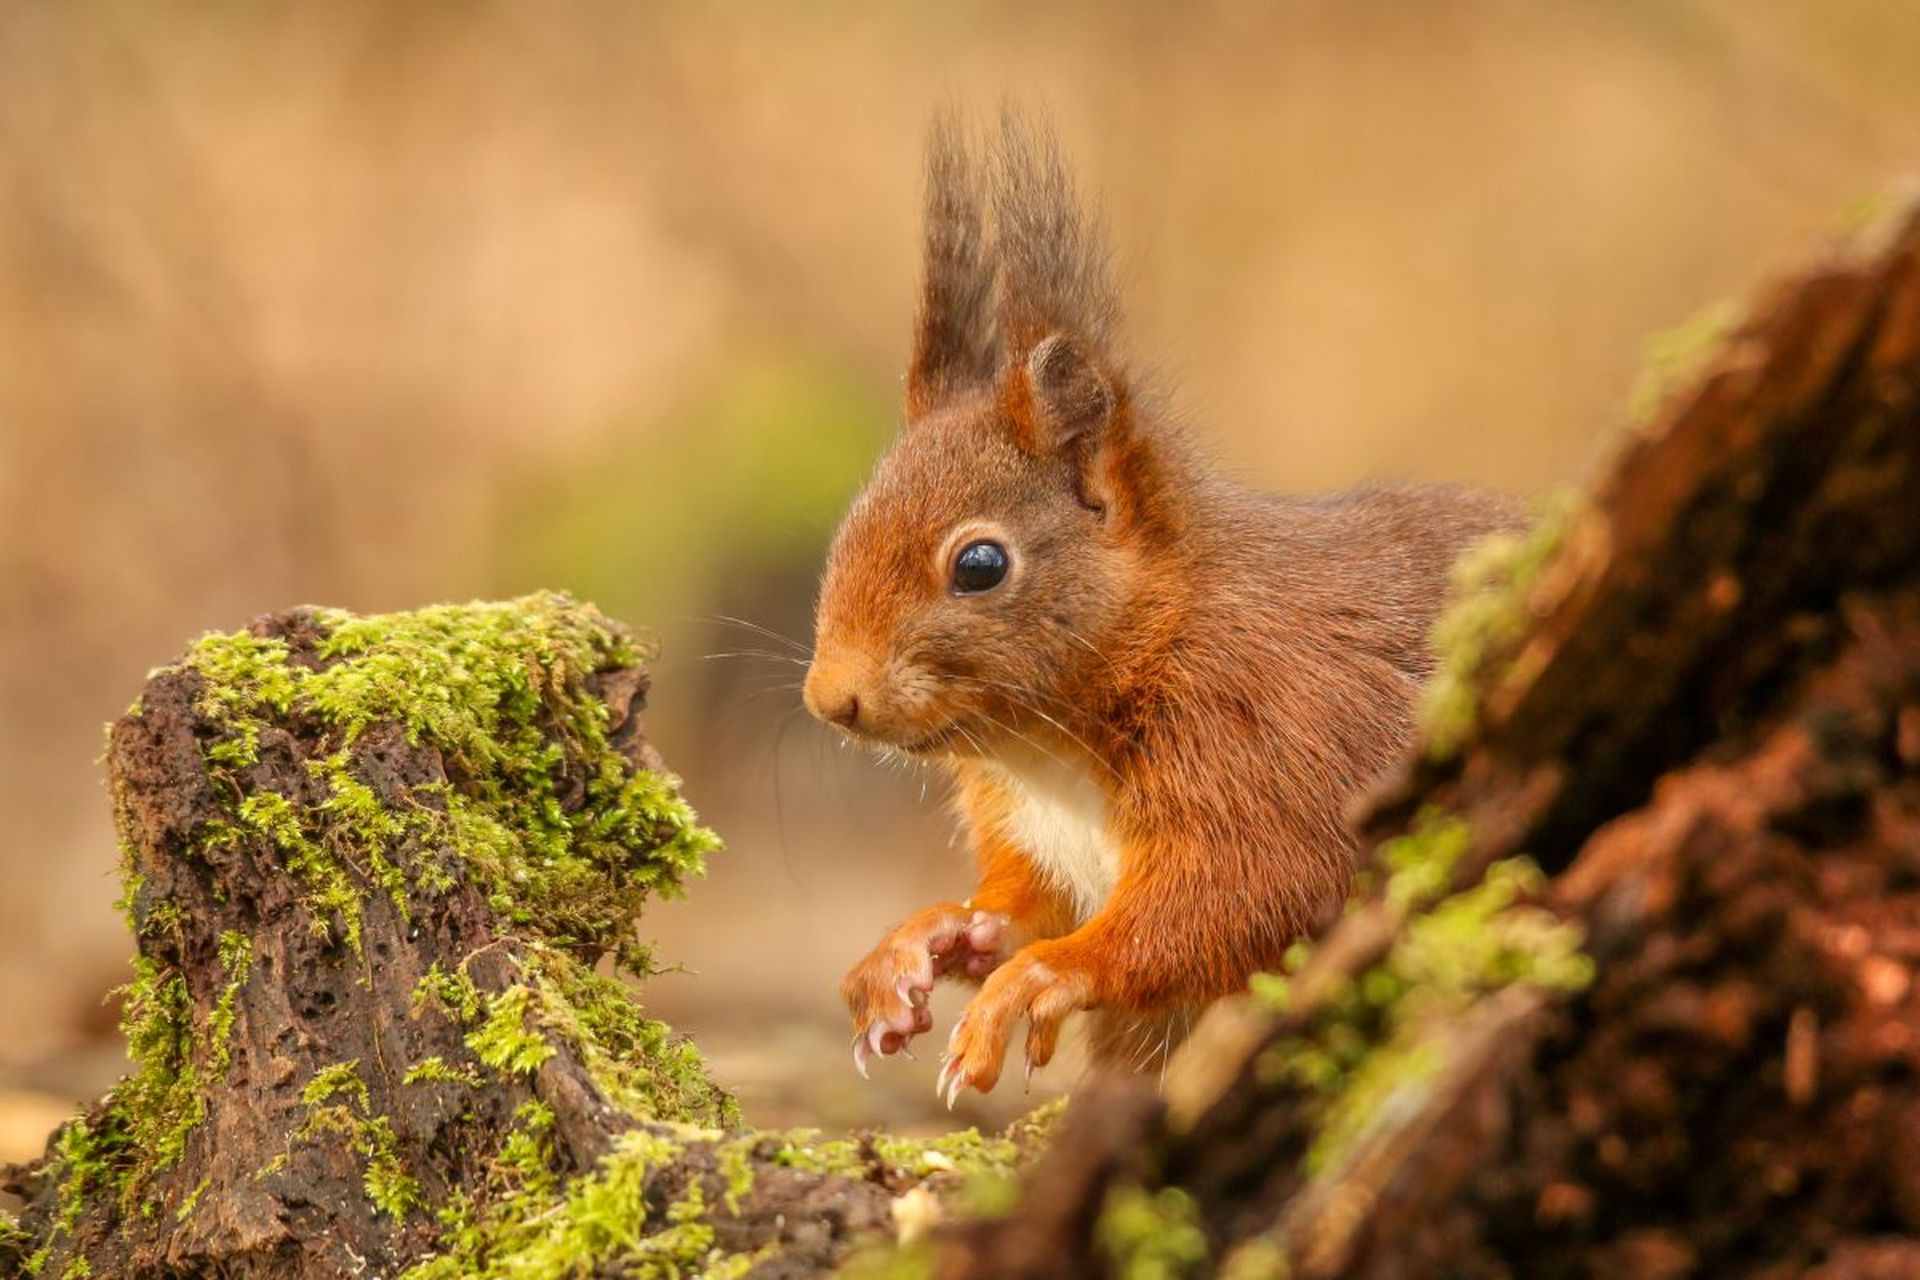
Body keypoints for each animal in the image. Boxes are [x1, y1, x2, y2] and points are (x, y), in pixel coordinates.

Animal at [802, 115, 1520, 1105]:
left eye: (981, 564)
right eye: (847, 526)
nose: (831, 698)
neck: (1044, 753)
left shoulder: (1270, 741)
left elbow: (1237, 900)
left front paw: (1039, 979)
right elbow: (1023, 905)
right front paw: (925, 939)